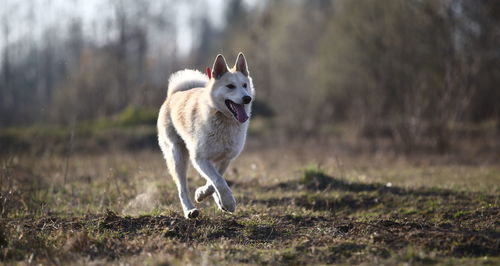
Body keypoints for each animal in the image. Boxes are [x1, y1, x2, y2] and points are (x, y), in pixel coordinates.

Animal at [157, 52, 254, 218]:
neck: (222, 119)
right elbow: (218, 181)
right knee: (182, 189)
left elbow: (215, 181)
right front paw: (228, 202)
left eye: (244, 85)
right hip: (178, 156)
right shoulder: (200, 158)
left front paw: (205, 195)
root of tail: (174, 94)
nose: (247, 98)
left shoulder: (225, 159)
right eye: (230, 86)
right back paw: (189, 210)